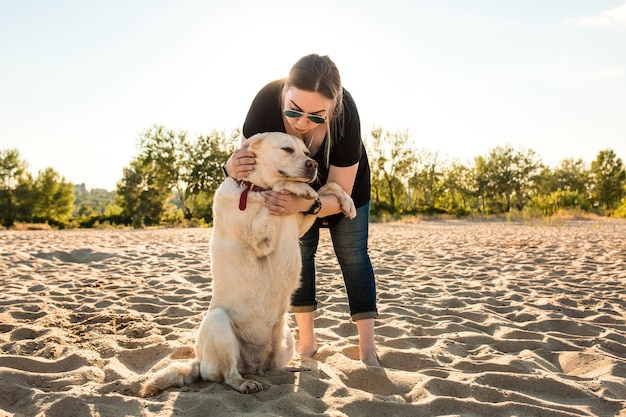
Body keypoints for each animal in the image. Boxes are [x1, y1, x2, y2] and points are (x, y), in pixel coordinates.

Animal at [141, 132, 356, 394]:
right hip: (218, 322)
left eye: (306, 153)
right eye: (287, 149)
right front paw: (300, 188)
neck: (252, 188)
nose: (313, 164)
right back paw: (246, 383)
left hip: (285, 339)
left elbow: (328, 187)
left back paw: (298, 367)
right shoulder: (262, 238)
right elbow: (280, 186)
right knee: (228, 375)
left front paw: (346, 202)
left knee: (272, 367)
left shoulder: (298, 227)